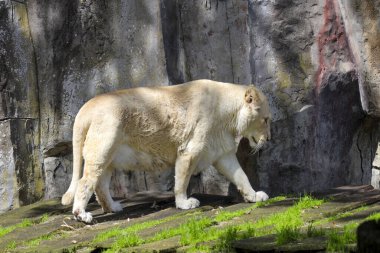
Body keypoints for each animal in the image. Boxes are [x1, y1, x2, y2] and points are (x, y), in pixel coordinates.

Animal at [61, 80, 270, 222]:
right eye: (266, 119)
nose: (268, 139)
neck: (227, 115)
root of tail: (86, 107)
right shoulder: (189, 150)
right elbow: (182, 180)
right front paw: (184, 204)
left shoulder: (222, 153)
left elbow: (241, 176)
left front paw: (254, 196)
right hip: (102, 149)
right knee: (85, 182)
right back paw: (82, 215)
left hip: (109, 156)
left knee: (100, 184)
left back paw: (113, 207)